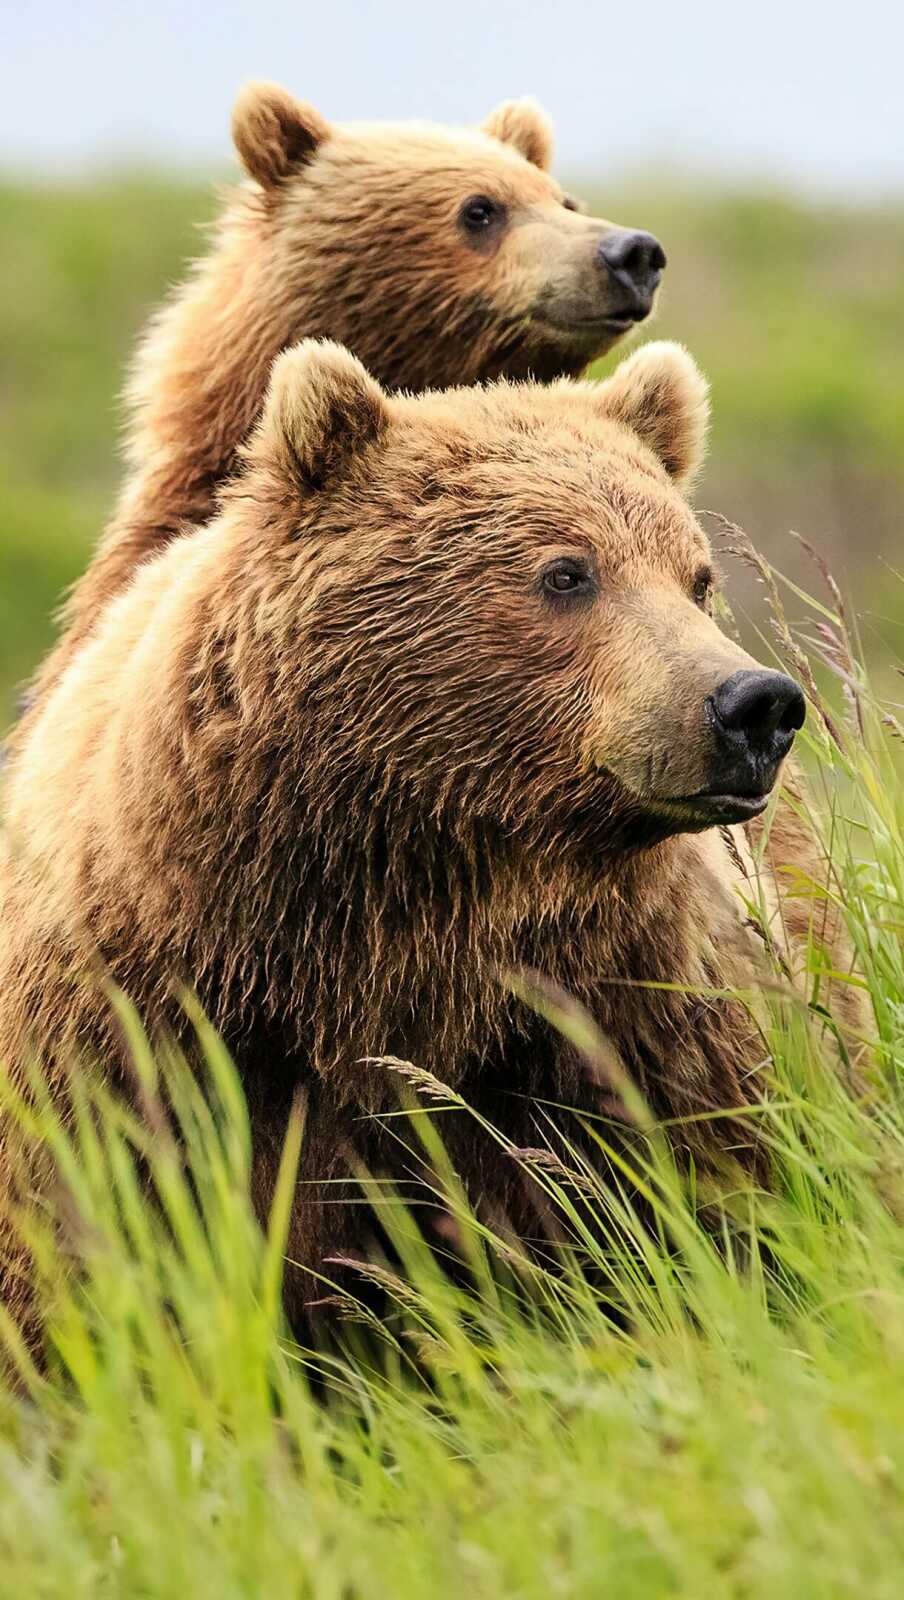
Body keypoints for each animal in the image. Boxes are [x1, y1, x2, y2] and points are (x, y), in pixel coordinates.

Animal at [1, 340, 861, 1335]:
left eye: (696, 576)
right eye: (567, 572)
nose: (754, 705)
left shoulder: (629, 1006)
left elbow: (721, 1188)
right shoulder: (144, 1035)